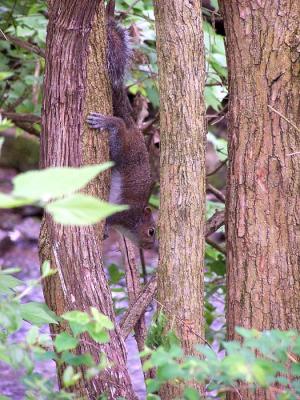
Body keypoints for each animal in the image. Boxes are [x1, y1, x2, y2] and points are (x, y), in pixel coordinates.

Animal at [86, 0, 156, 250]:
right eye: (152, 231)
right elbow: (108, 217)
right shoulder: (123, 214)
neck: (132, 223)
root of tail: (133, 127)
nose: (150, 247)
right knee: (117, 127)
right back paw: (109, 122)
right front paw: (106, 227)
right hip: (123, 147)